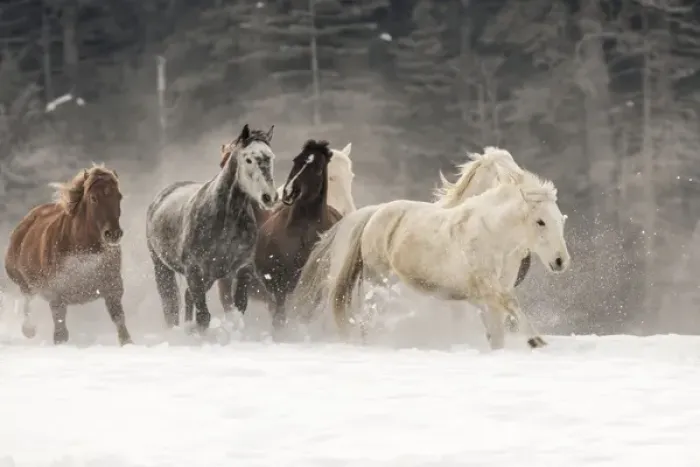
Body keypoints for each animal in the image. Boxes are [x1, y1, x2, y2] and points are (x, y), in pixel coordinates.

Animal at [4, 165, 132, 345]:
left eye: (119, 196)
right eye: (93, 198)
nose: (113, 234)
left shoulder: (113, 288)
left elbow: (120, 322)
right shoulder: (57, 296)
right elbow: (60, 332)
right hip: (24, 283)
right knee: (28, 300)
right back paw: (29, 330)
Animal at [145, 123, 278, 332]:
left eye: (270, 157)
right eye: (248, 159)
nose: (269, 197)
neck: (224, 220)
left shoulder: (240, 270)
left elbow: (238, 310)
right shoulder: (194, 270)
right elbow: (203, 317)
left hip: (209, 277)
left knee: (187, 297)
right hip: (162, 267)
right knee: (171, 306)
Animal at [327, 173, 571, 350]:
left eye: (561, 220)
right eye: (540, 221)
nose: (560, 261)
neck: (492, 236)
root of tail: (375, 213)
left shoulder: (487, 297)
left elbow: (497, 333)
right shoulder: (488, 287)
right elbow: (511, 303)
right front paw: (536, 341)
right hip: (378, 282)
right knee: (367, 318)